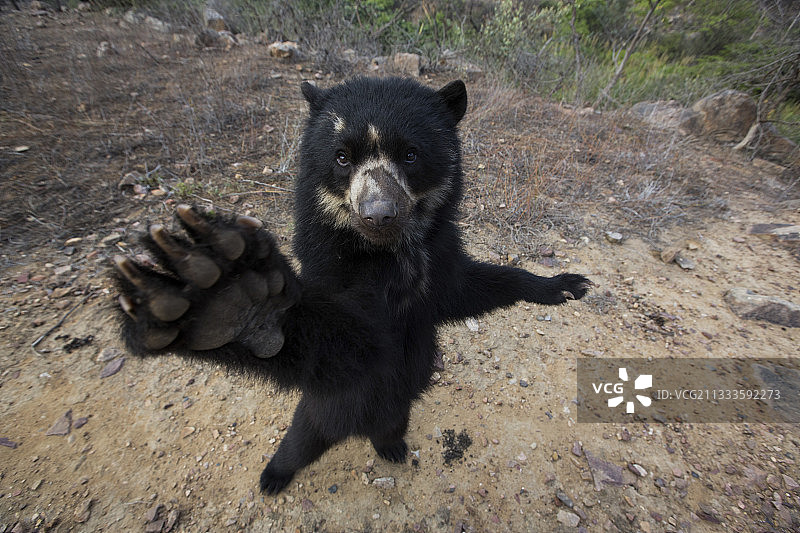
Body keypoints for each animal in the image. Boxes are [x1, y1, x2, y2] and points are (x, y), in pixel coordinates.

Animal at [114, 76, 592, 494]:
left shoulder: (438, 261)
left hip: (399, 408)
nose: (379, 214)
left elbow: (466, 290)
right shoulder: (337, 270)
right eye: (342, 156)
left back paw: (391, 447)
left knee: (388, 425)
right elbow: (348, 340)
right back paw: (274, 475)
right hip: (323, 409)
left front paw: (565, 284)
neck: (394, 252)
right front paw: (227, 298)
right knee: (301, 440)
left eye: (411, 154)